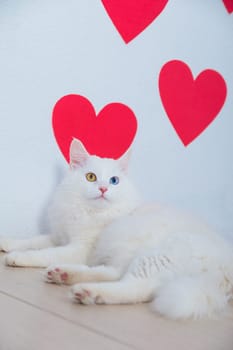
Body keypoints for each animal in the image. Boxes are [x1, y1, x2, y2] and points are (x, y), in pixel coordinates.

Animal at [0, 138, 233, 318]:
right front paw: (7, 244)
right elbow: (33, 241)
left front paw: (16, 258)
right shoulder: (60, 236)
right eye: (91, 177)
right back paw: (63, 275)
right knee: (115, 275)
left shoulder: (79, 248)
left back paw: (85, 292)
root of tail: (225, 272)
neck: (87, 212)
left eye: (114, 181)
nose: (103, 189)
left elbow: (43, 253)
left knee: (133, 288)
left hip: (154, 257)